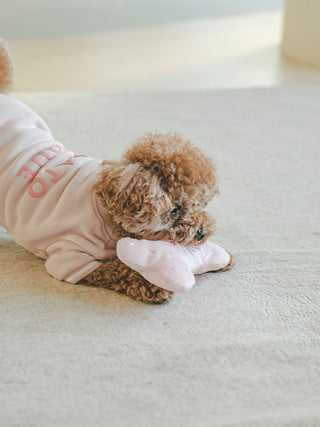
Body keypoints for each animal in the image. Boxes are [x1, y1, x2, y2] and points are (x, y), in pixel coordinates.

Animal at [0, 39, 235, 304]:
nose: (203, 233)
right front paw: (151, 285)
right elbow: (117, 269)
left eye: (199, 204)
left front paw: (224, 255)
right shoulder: (70, 256)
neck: (106, 213)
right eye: (174, 210)